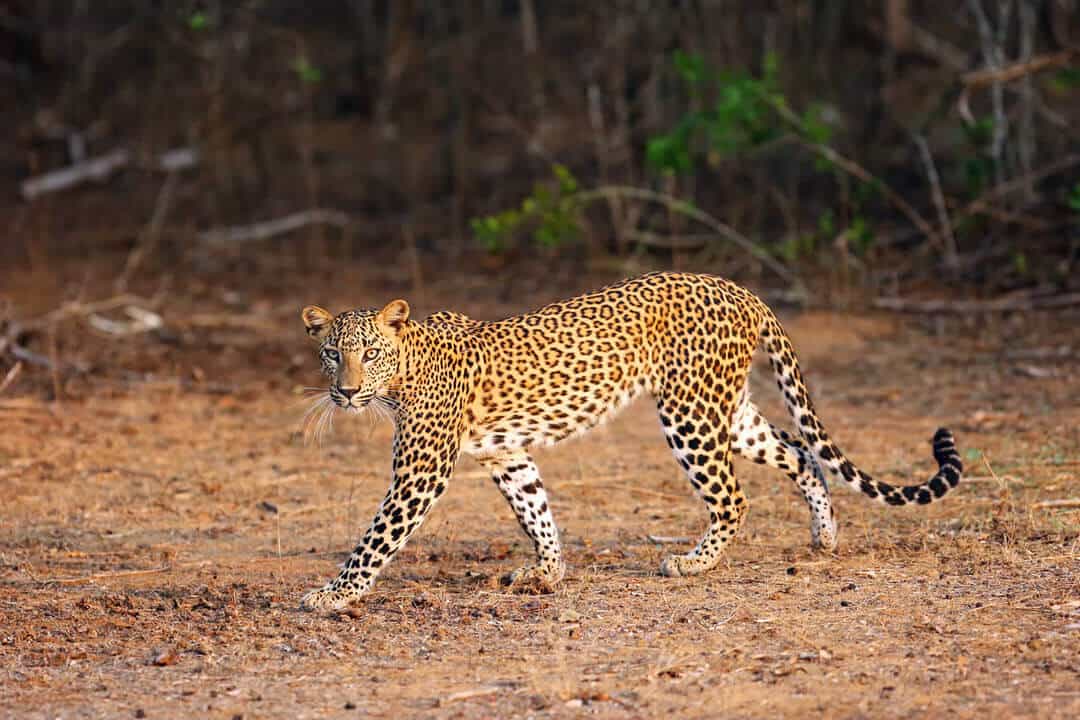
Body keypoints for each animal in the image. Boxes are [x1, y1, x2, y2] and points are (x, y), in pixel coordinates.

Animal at [298, 273, 963, 613]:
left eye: (370, 353)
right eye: (332, 353)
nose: (345, 392)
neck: (403, 373)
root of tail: (742, 290)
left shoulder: (422, 471)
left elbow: (375, 539)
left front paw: (333, 594)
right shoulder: (506, 454)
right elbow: (536, 510)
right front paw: (548, 573)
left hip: (689, 412)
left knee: (733, 495)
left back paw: (693, 562)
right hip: (726, 409)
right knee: (800, 453)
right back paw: (824, 536)